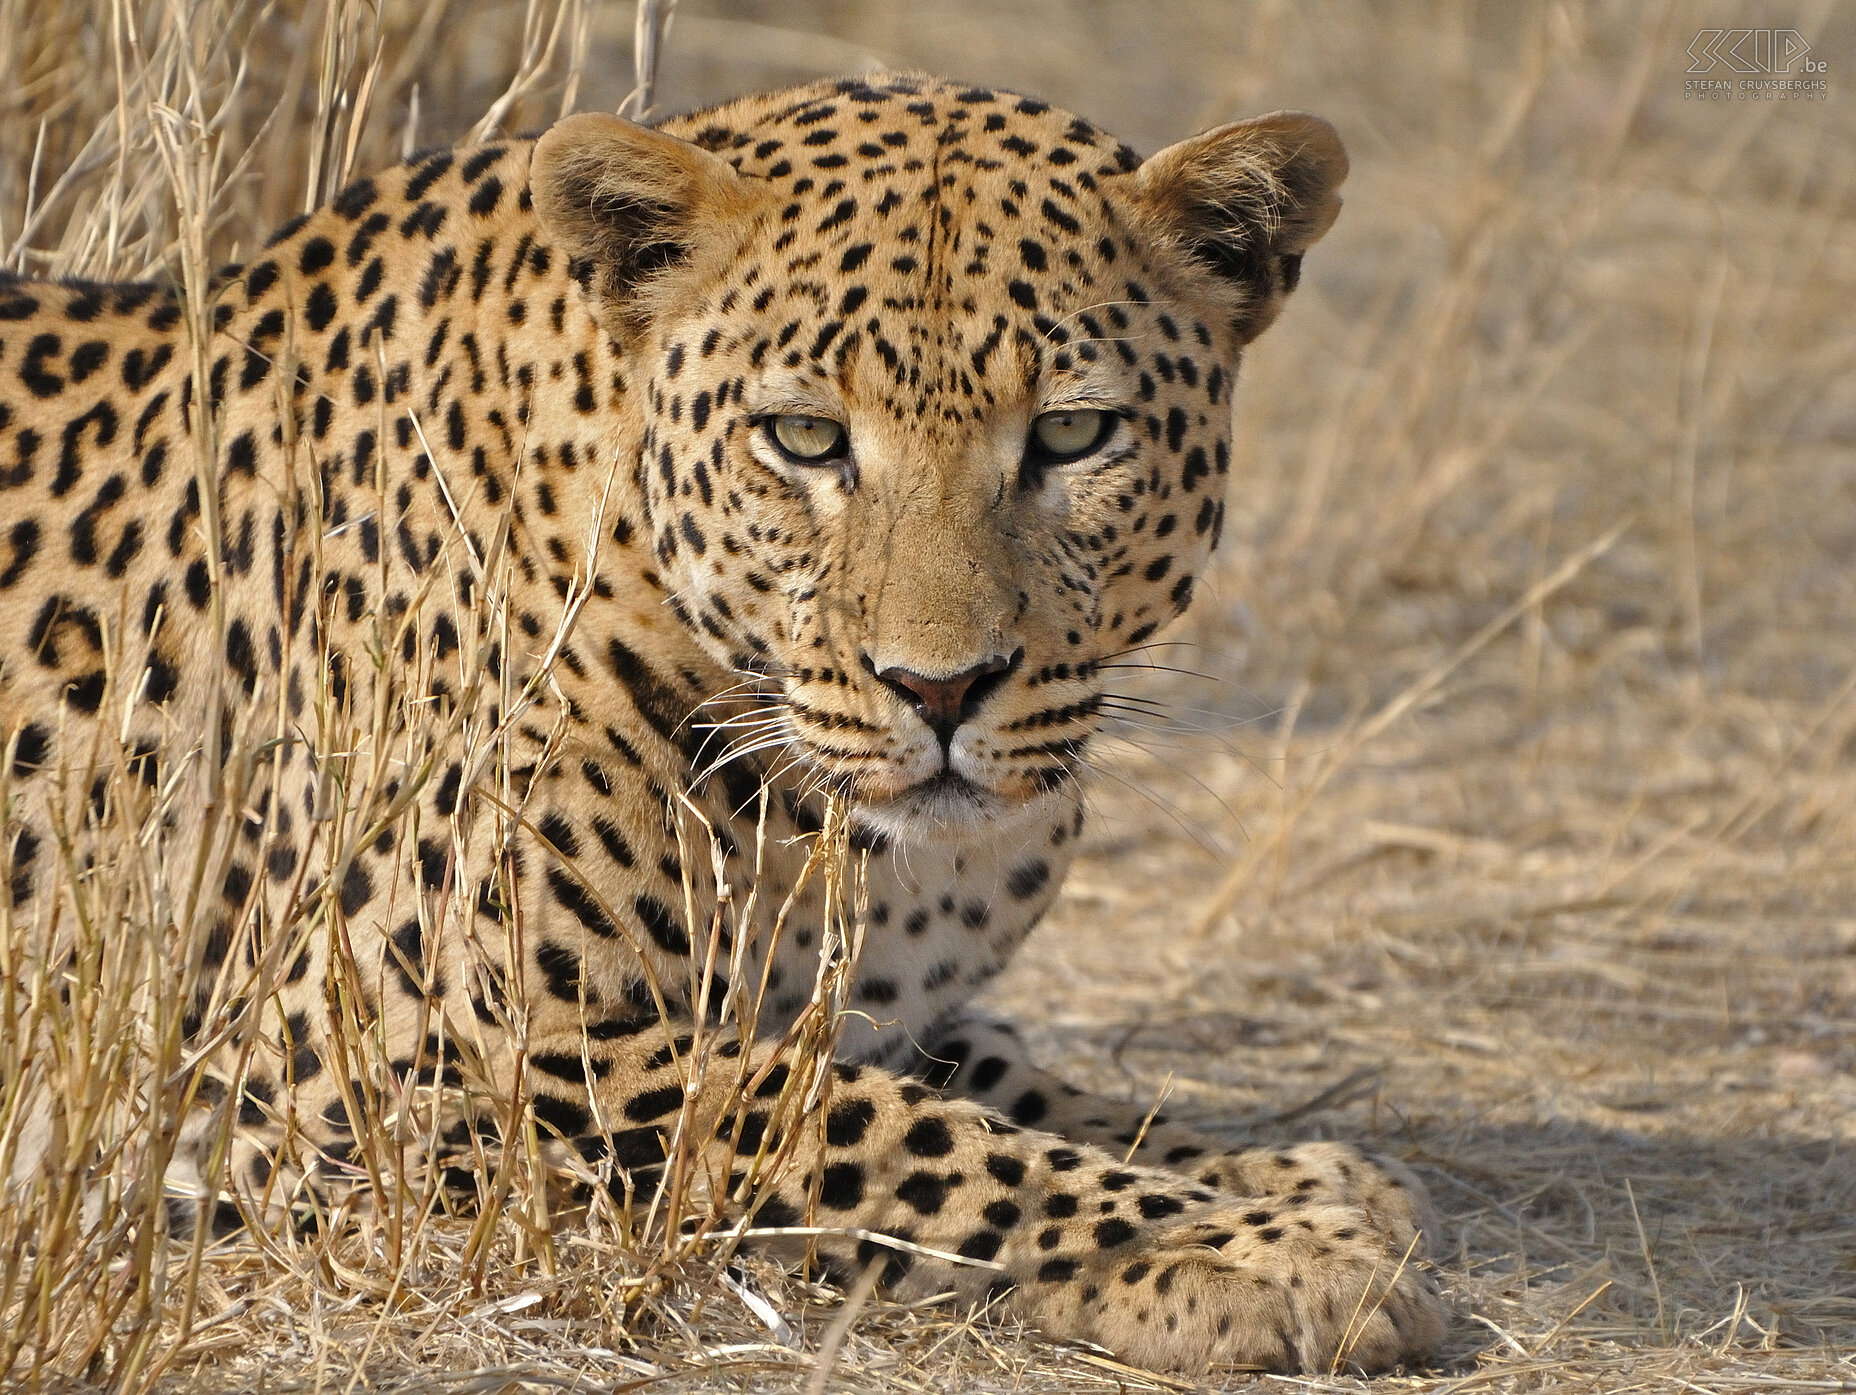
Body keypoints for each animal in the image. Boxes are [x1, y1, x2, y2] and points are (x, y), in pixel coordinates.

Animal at [0, 73, 1447, 1372]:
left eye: (1074, 434)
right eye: (804, 439)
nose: (940, 689)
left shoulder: (877, 1010)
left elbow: (1016, 1088)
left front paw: (1296, 1179)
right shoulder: (383, 1060)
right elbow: (879, 1135)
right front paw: (1264, 1251)